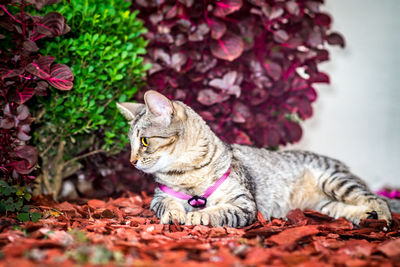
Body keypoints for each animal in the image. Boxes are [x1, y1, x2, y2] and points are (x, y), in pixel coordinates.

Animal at [116, 90, 396, 228]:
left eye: (144, 141)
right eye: (130, 143)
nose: (131, 161)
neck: (187, 175)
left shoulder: (243, 203)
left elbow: (219, 211)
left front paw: (197, 216)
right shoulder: (158, 198)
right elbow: (167, 206)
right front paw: (176, 215)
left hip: (334, 180)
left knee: (377, 198)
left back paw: (382, 219)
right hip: (323, 205)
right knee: (346, 208)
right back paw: (366, 216)